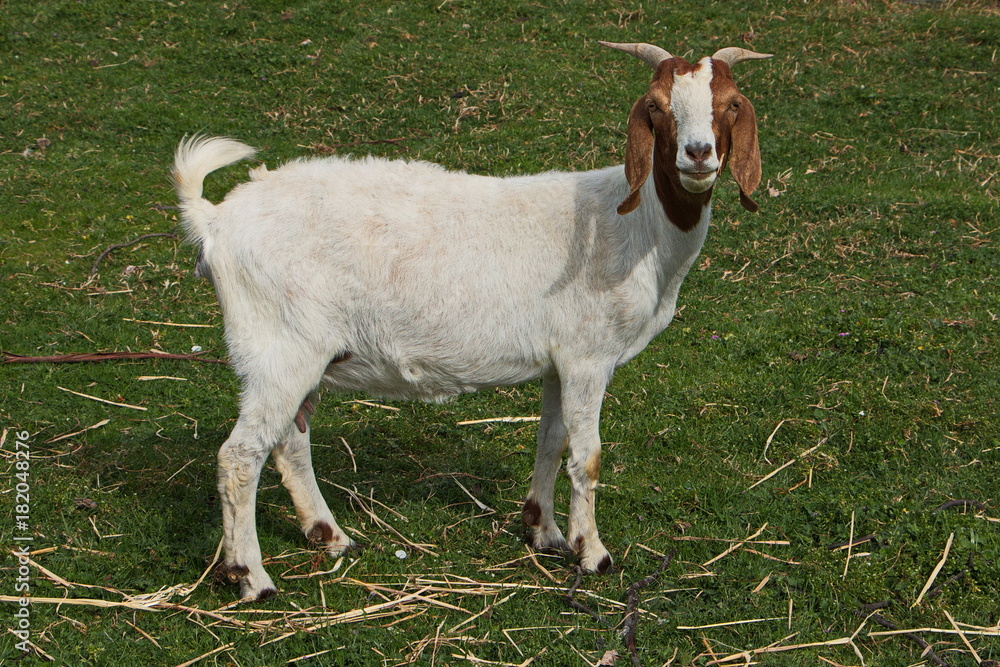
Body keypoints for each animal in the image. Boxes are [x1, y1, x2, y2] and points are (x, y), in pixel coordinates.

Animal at [172, 41, 771, 600]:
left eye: (731, 103)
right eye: (655, 107)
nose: (698, 154)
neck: (636, 226)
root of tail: (214, 220)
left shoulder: (558, 361)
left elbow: (551, 441)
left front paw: (544, 532)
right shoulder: (588, 357)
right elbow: (588, 458)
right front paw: (593, 554)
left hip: (302, 351)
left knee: (289, 441)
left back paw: (330, 536)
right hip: (277, 345)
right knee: (239, 458)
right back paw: (251, 576)